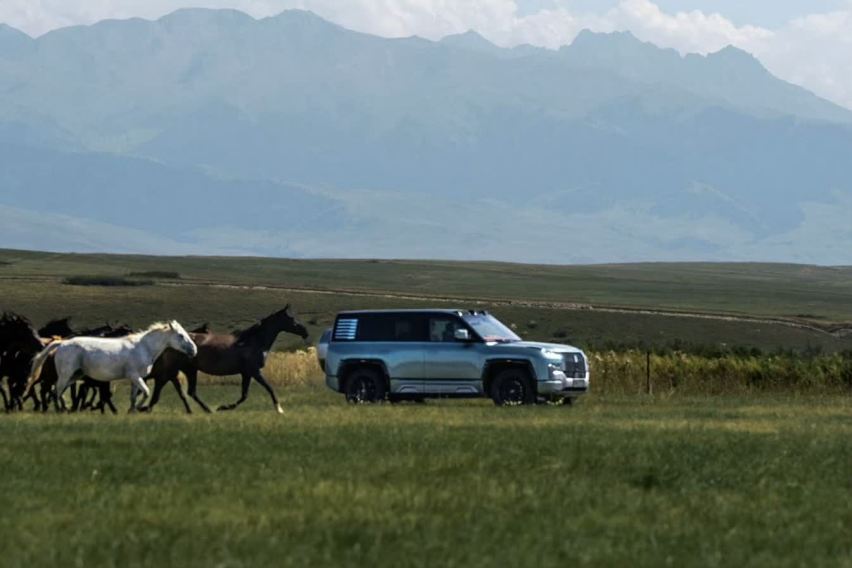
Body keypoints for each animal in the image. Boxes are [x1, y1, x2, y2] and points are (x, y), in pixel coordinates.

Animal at [27, 320, 197, 412]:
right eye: (181, 335)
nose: (194, 350)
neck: (143, 347)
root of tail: (61, 343)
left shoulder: (135, 379)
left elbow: (134, 396)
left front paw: (132, 410)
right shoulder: (134, 376)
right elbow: (146, 392)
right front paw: (140, 408)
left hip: (75, 375)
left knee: (58, 391)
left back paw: (64, 409)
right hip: (66, 374)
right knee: (56, 391)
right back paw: (59, 410)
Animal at [144, 306, 310, 412]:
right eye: (291, 318)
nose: (305, 331)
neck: (253, 342)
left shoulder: (246, 373)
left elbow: (244, 395)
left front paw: (223, 407)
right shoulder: (255, 371)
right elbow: (269, 388)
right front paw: (279, 409)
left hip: (189, 370)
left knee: (189, 392)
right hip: (177, 370)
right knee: (167, 386)